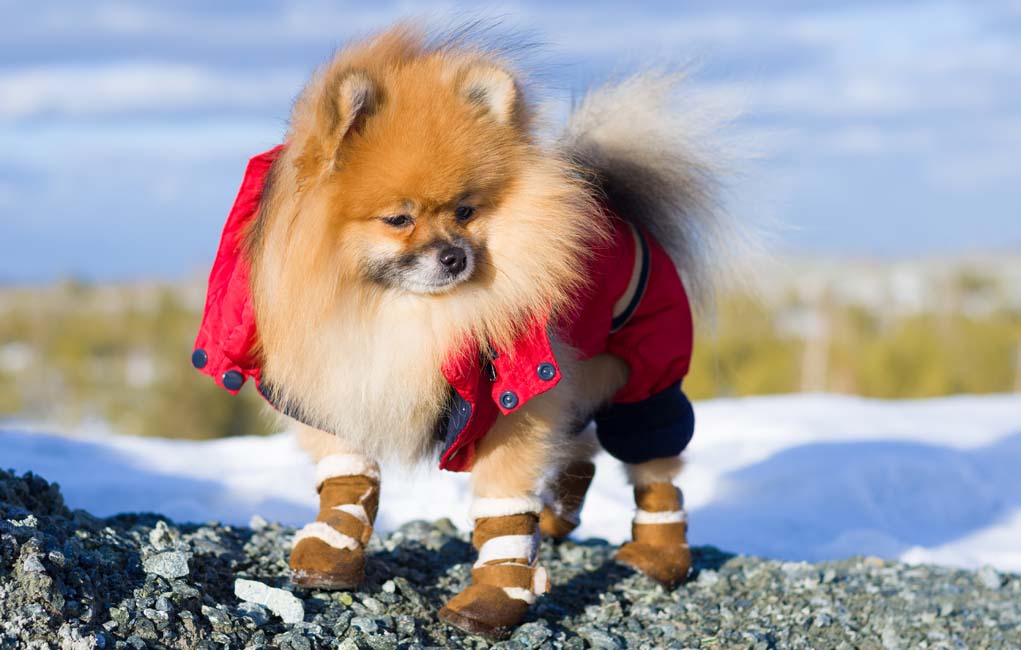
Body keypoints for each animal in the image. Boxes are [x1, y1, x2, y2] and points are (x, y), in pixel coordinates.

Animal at [191, 22, 739, 636]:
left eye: (466, 211)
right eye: (399, 218)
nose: (454, 256)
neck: (400, 312)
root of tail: (619, 204)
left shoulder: (515, 401)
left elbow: (504, 508)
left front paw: (495, 596)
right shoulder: (338, 373)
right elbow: (346, 471)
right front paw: (331, 550)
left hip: (644, 374)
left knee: (653, 460)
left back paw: (656, 553)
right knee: (581, 447)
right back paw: (559, 514)